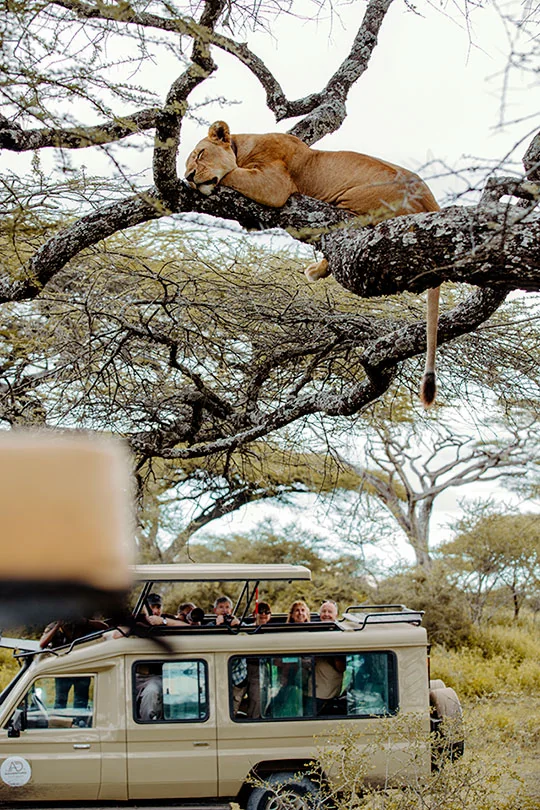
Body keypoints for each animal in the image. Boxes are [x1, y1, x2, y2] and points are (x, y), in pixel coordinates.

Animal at [185, 121, 440, 407]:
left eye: (200, 154)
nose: (189, 177)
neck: (242, 146)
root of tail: (432, 204)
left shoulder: (274, 184)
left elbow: (231, 174)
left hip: (354, 198)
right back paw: (316, 270)